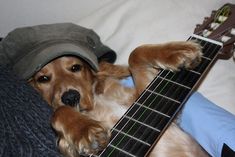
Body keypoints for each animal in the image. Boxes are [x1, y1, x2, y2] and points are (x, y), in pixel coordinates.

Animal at [28, 41, 207, 156]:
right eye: (43, 79)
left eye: (75, 67)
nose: (71, 97)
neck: (95, 103)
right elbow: (58, 111)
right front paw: (85, 130)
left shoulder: (139, 98)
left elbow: (135, 53)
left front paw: (178, 51)